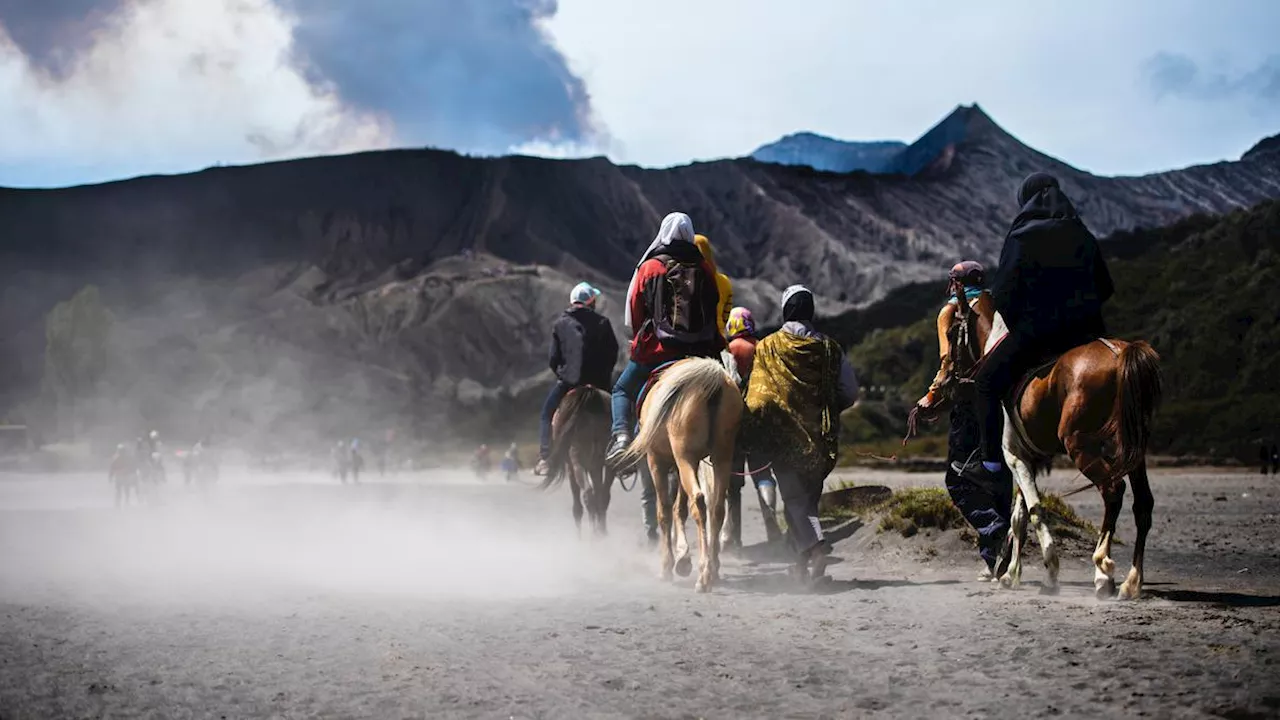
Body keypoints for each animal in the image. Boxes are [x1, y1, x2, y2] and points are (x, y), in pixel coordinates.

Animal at [537, 386, 616, 532]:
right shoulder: (595, 466)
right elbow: (599, 492)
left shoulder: (571, 467)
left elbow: (577, 508)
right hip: (606, 460)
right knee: (602, 495)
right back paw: (600, 532)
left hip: (576, 461)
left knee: (588, 495)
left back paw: (594, 534)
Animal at [616, 356, 747, 591]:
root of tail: (712, 381)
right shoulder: (684, 465)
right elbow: (680, 508)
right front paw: (683, 557)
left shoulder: (657, 461)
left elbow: (665, 511)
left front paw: (669, 565)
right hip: (720, 456)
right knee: (716, 507)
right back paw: (713, 568)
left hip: (685, 457)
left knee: (698, 501)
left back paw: (703, 576)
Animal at [911, 283, 1162, 597]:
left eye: (950, 333)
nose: (941, 383)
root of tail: (1120, 353)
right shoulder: (1023, 457)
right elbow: (1018, 517)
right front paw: (1010, 574)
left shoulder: (1013, 456)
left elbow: (1034, 510)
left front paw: (1050, 571)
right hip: (1132, 450)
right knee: (1143, 505)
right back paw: (1131, 581)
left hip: (1082, 446)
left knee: (1113, 491)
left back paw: (1103, 567)